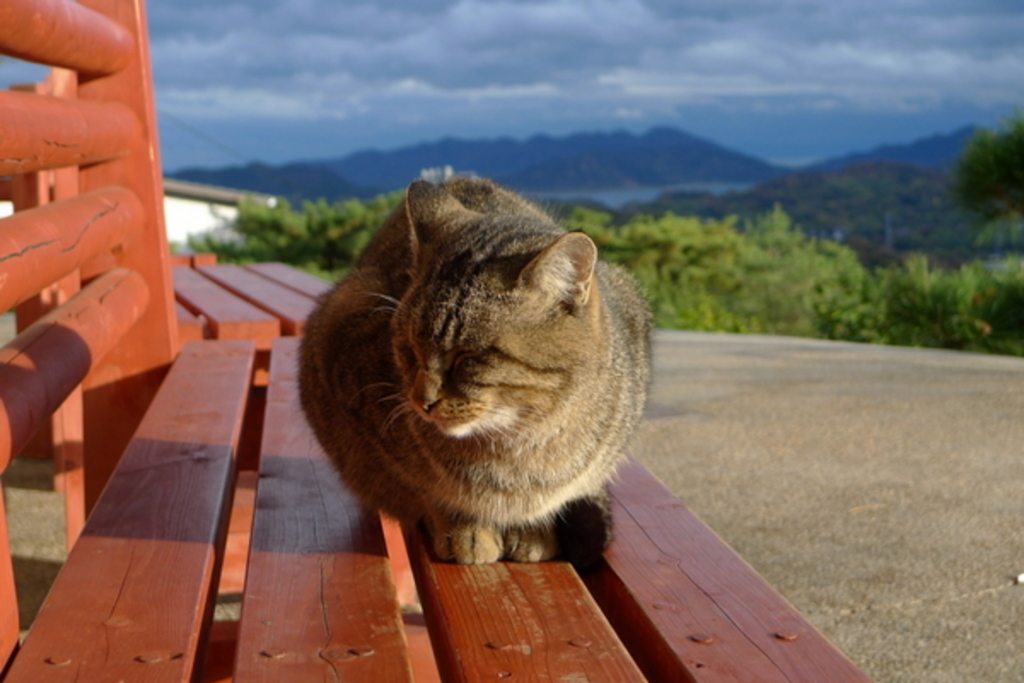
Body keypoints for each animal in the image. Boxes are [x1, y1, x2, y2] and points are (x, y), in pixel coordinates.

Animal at [296, 178, 647, 573]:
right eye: (408, 347)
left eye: (469, 358)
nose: (421, 401)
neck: (519, 443)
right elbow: (424, 488)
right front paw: (463, 527)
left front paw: (532, 531)